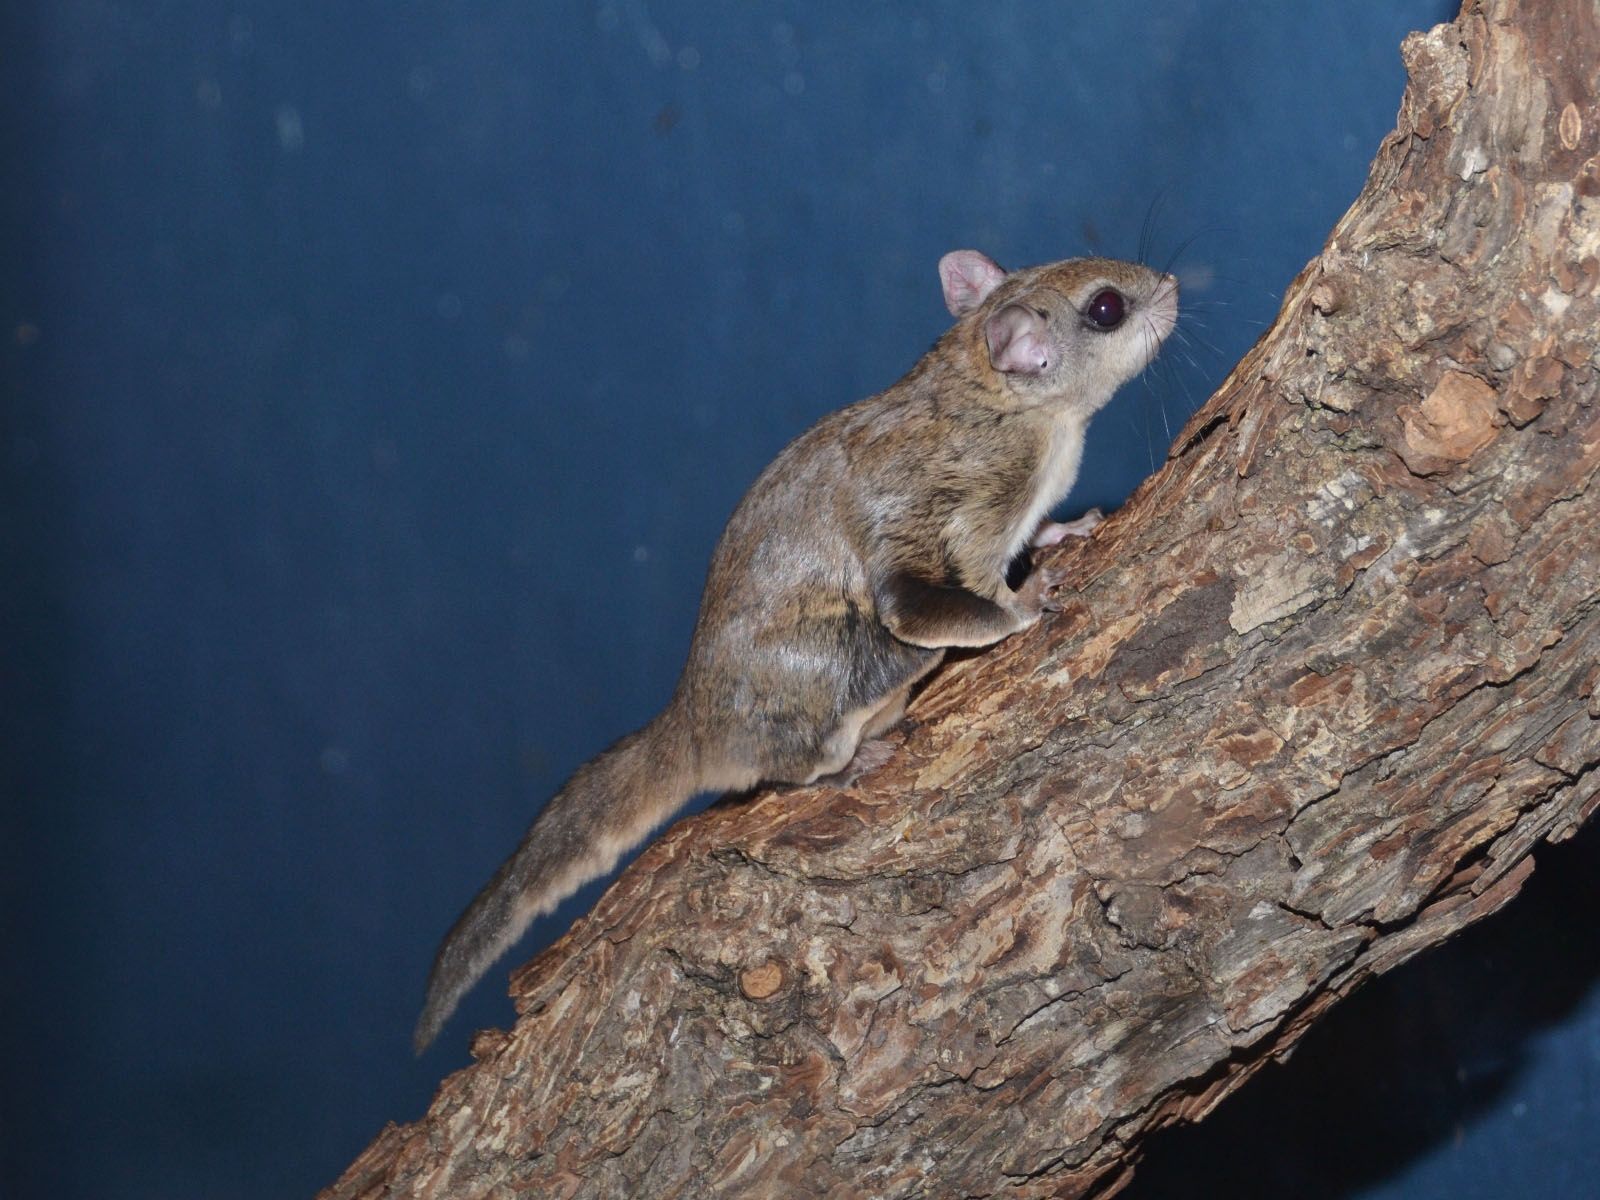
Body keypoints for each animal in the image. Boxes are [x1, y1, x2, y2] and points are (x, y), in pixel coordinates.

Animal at [413, 249, 1178, 1052]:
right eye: (1106, 308)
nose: (1172, 286)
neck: (1004, 401)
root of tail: (690, 724)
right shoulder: (953, 511)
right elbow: (953, 601)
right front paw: (1027, 603)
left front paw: (1067, 530)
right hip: (848, 670)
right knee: (796, 764)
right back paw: (849, 765)